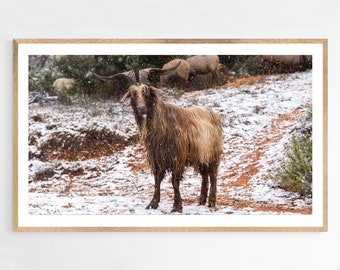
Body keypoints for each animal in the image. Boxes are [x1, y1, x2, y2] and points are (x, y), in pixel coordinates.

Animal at [93, 62, 224, 212]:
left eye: (146, 91)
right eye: (132, 94)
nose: (142, 109)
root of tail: (213, 114)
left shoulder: (177, 158)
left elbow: (174, 181)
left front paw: (177, 206)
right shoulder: (157, 158)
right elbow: (157, 180)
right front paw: (153, 203)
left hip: (213, 155)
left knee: (213, 176)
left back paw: (212, 201)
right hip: (200, 157)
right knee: (204, 176)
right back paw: (202, 201)